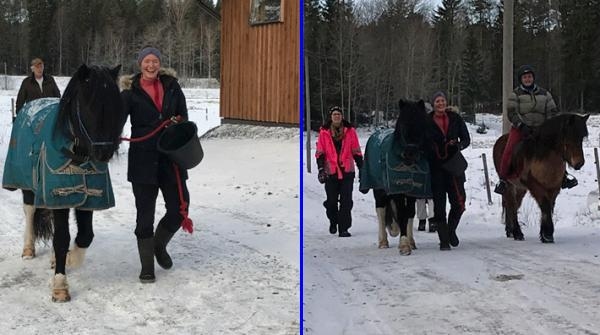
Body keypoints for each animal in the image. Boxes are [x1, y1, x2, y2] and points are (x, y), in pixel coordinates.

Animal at [1, 64, 124, 304]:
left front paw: (67, 259)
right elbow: (61, 237)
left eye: (117, 104)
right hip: (30, 187)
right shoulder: (59, 194)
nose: (104, 152)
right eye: (89, 105)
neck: (77, 153)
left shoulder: (88, 196)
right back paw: (28, 249)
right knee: (30, 211)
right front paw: (60, 286)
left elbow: (85, 235)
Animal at [360, 99, 432, 255]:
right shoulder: (398, 190)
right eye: (403, 124)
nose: (410, 153)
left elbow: (410, 213)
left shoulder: (412, 191)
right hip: (379, 189)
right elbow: (402, 213)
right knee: (380, 211)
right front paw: (404, 246)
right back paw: (383, 242)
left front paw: (411, 242)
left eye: (421, 124)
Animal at [492, 114, 592, 243]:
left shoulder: (554, 187)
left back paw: (510, 231)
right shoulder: (534, 185)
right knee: (511, 205)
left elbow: (549, 207)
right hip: (509, 185)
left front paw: (545, 234)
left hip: (520, 188)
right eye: (569, 137)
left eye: (581, 138)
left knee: (514, 205)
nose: (579, 163)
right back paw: (517, 233)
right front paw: (547, 234)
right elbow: (545, 205)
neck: (546, 157)